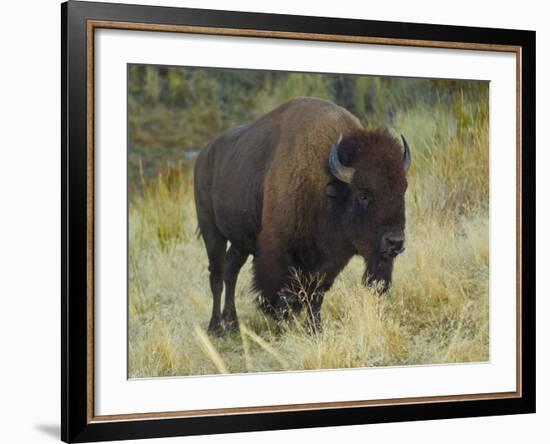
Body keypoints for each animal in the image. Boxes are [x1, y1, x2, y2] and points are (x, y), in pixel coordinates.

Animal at [194, 96, 410, 332]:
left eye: (402, 189)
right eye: (363, 195)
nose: (395, 242)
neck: (325, 184)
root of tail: (203, 155)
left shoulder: (328, 262)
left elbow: (315, 294)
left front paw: (314, 329)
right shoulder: (279, 250)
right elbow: (283, 293)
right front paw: (284, 326)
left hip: (240, 240)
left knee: (231, 270)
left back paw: (232, 323)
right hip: (211, 230)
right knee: (216, 274)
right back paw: (215, 327)